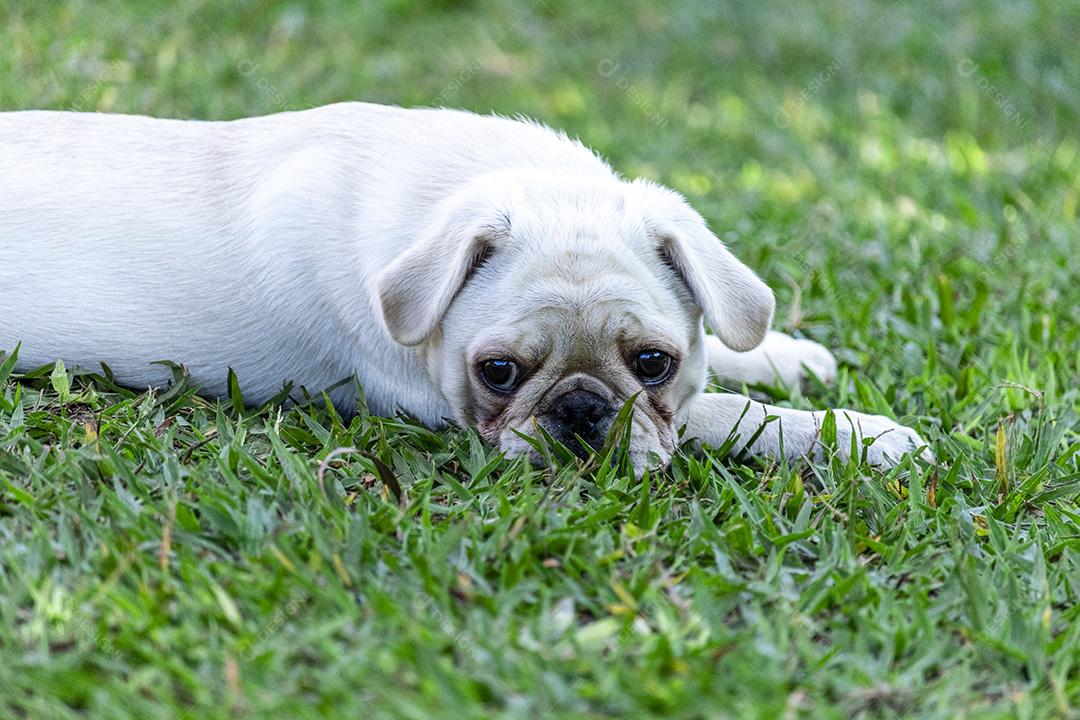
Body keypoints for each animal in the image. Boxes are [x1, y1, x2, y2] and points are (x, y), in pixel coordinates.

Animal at [0, 101, 928, 472]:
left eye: (653, 362)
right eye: (499, 374)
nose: (580, 409)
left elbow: (728, 353)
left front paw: (786, 356)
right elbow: (726, 417)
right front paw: (862, 435)